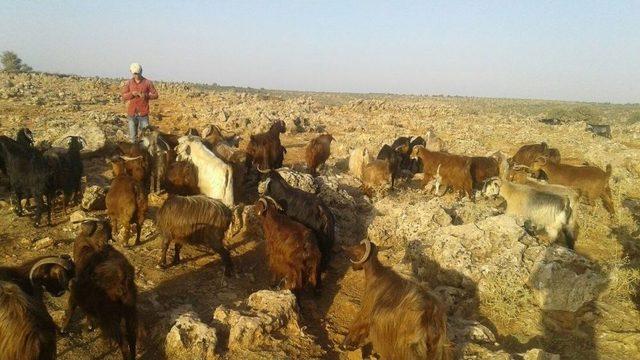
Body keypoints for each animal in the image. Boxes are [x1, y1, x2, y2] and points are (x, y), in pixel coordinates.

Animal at [62, 219, 138, 360]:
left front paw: (63, 329)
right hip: (129, 311)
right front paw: (89, 325)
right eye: (99, 230)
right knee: (132, 338)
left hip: (110, 315)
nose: (105, 244)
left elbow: (71, 308)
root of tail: (123, 276)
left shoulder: (76, 290)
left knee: (124, 342)